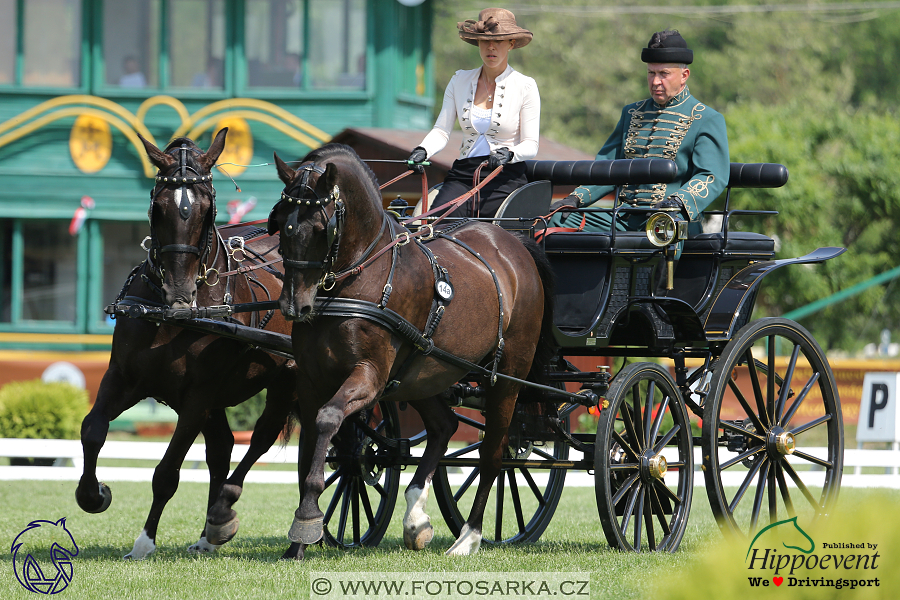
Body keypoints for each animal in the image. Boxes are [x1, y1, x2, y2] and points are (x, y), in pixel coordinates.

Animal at [75, 130, 296, 556]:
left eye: (206, 208)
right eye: (158, 206)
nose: (179, 293)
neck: (171, 316)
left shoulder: (198, 395)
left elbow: (167, 471)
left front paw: (144, 542)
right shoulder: (124, 378)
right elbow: (92, 429)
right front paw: (94, 495)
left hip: (287, 379)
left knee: (259, 439)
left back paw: (222, 517)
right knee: (222, 447)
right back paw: (209, 533)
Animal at [260, 144, 556, 556]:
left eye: (321, 228)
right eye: (280, 223)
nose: (293, 306)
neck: (358, 277)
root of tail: (515, 244)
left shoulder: (369, 375)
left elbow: (328, 419)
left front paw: (306, 521)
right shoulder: (311, 379)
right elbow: (308, 451)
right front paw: (299, 541)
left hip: (507, 377)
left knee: (493, 454)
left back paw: (469, 537)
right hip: (423, 373)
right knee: (444, 425)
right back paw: (416, 518)